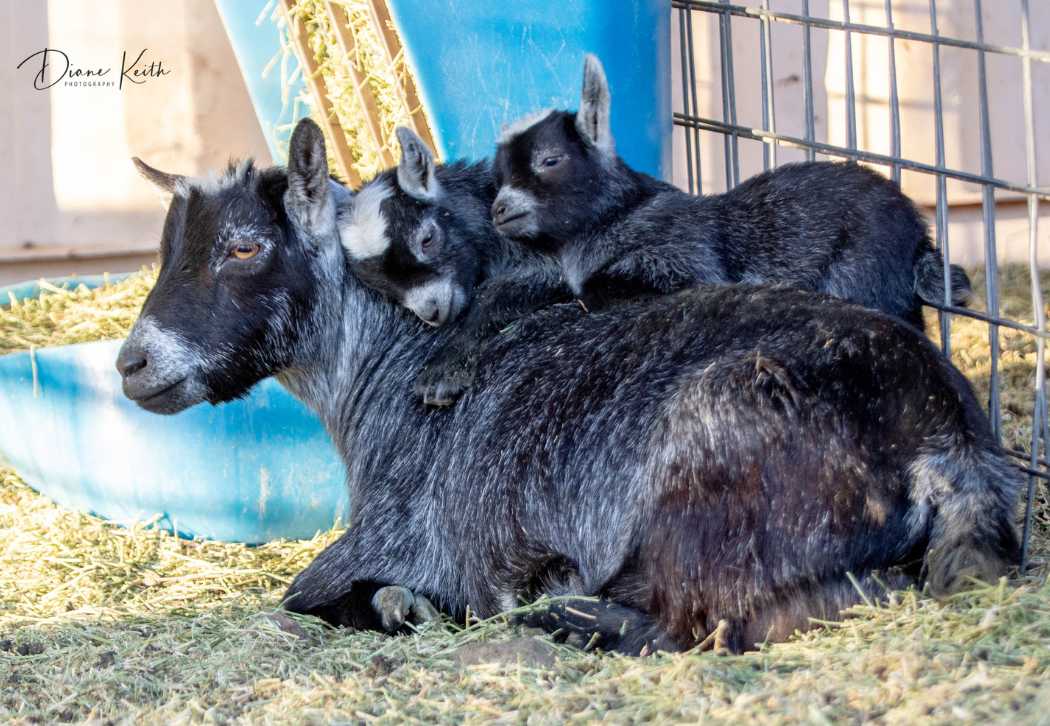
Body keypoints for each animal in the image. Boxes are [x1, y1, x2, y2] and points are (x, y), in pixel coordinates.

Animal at [117, 118, 1019, 655]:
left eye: (243, 246)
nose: (133, 364)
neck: (384, 364)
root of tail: (944, 437)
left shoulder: (377, 542)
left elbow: (306, 595)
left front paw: (406, 605)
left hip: (702, 500)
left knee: (696, 624)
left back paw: (545, 606)